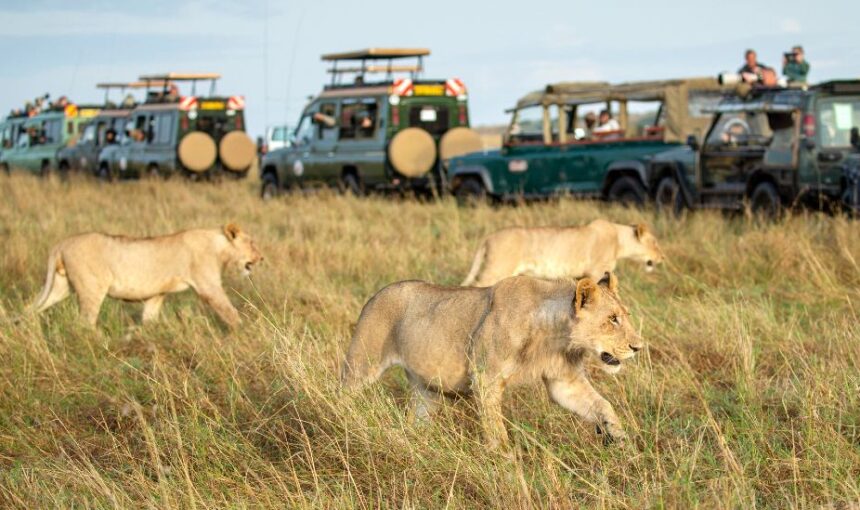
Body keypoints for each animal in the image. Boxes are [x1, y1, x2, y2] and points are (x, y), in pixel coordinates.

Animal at [31, 223, 262, 326]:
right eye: (251, 243)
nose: (261, 258)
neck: (218, 244)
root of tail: (62, 244)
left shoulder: (157, 294)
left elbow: (149, 318)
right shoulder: (209, 286)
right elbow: (229, 311)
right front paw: (244, 331)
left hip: (60, 286)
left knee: (31, 308)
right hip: (91, 289)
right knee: (85, 323)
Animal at [342, 272, 644, 444]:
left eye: (625, 315)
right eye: (612, 319)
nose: (638, 347)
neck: (555, 335)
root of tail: (376, 294)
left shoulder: (564, 381)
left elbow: (603, 405)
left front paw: (621, 438)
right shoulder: (485, 379)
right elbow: (497, 433)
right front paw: (508, 469)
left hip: (425, 390)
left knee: (414, 422)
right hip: (362, 365)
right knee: (343, 393)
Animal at [460, 219, 660, 286]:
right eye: (655, 243)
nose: (662, 258)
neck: (619, 240)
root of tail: (489, 236)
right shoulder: (596, 271)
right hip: (496, 269)